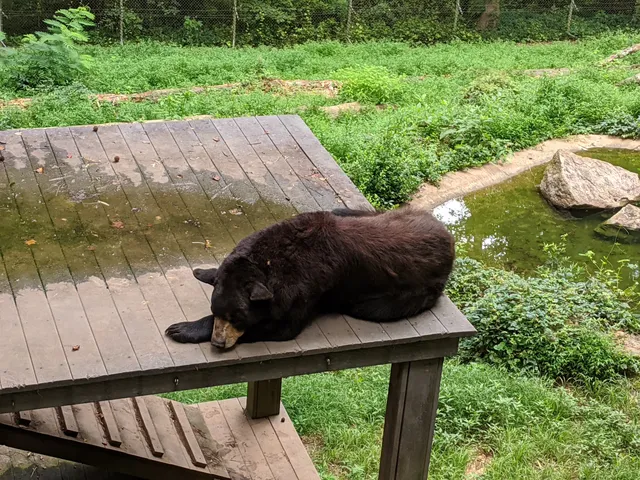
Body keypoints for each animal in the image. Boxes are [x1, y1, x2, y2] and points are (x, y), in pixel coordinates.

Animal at [165, 206, 455, 349]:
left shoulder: (307, 288)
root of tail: (448, 236)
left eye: (237, 317)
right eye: (218, 311)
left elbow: (279, 326)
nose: (219, 342)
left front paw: (181, 329)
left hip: (409, 293)